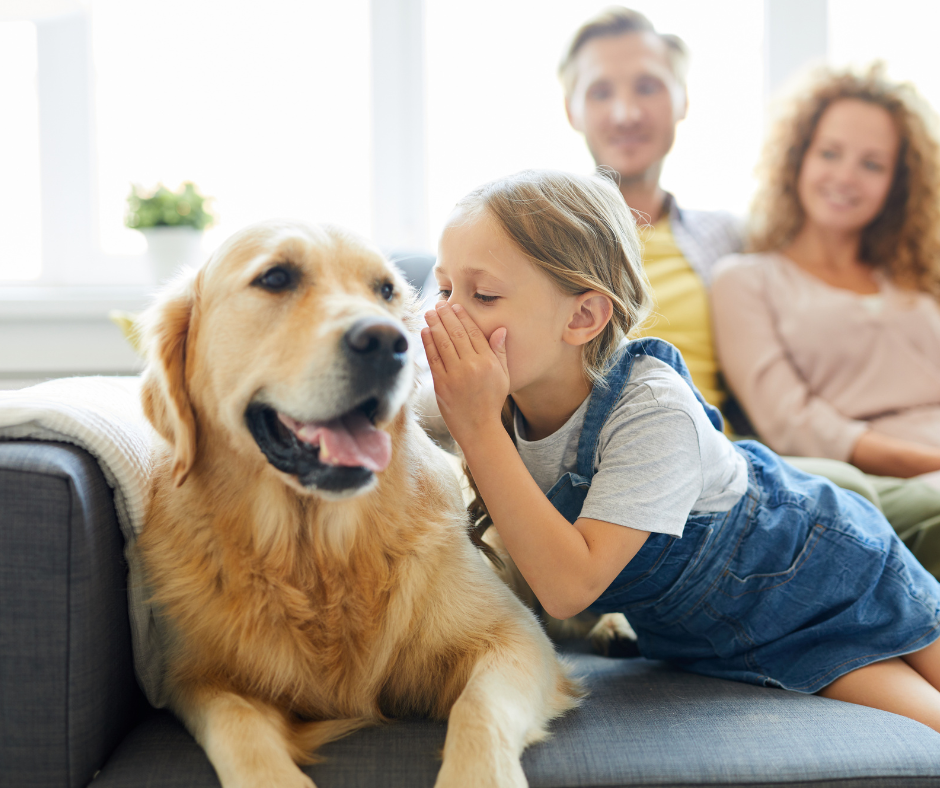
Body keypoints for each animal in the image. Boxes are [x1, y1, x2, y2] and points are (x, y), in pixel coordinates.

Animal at [136, 220, 580, 788]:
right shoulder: (199, 678)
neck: (319, 554)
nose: (387, 342)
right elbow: (238, 729)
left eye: (385, 290)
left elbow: (479, 707)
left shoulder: (514, 637)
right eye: (275, 277)